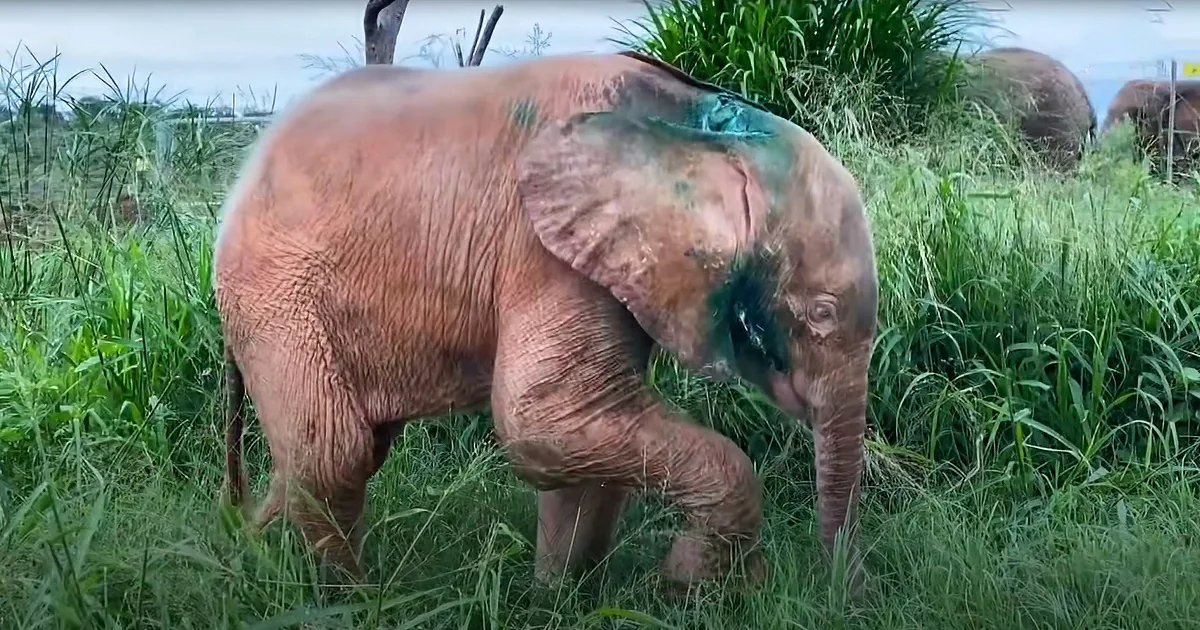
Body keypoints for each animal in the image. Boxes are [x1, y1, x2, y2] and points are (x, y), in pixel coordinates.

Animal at [213, 49, 879, 591]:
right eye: (819, 313)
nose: (834, 592)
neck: (703, 124)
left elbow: (583, 439)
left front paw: (560, 600)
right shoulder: (540, 248)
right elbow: (542, 419)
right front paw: (688, 579)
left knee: (336, 457)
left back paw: (253, 552)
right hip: (276, 295)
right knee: (334, 454)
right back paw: (353, 598)